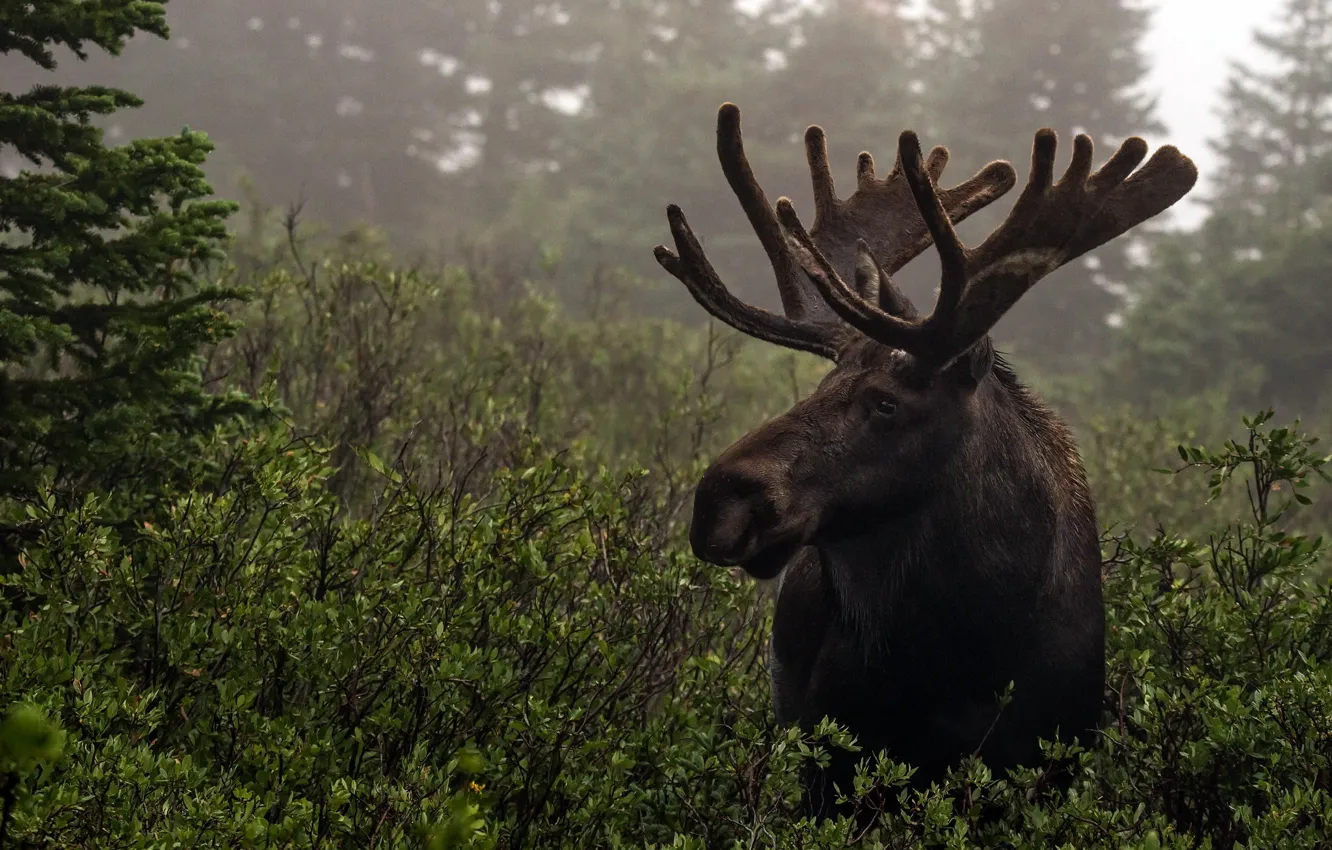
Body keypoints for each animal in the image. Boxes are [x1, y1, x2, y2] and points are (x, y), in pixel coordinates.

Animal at [652, 103, 1198, 820]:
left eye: (886, 402)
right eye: (818, 387)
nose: (721, 501)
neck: (959, 654)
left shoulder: (1048, 759)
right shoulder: (831, 755)